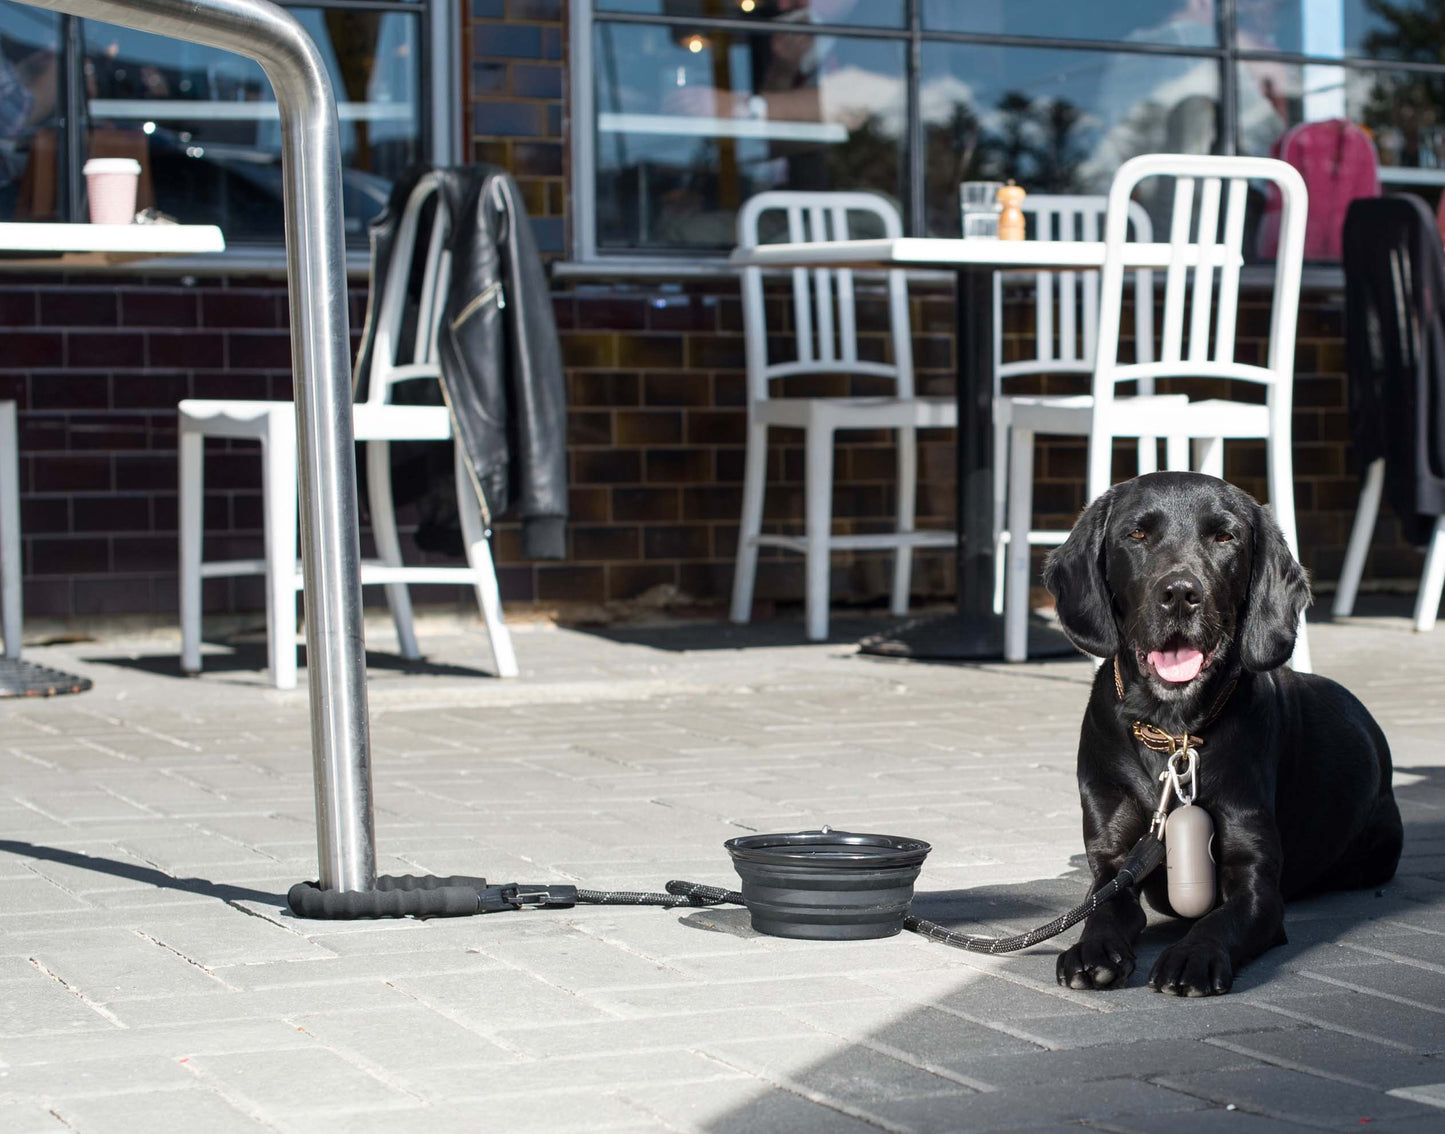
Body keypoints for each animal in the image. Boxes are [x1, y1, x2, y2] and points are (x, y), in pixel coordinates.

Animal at [1046, 473, 1404, 993]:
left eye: (1225, 537)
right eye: (1136, 534)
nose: (1179, 593)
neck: (1174, 732)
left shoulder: (1254, 877)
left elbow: (1221, 920)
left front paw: (1191, 957)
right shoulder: (1113, 864)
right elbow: (1103, 910)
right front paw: (1091, 950)